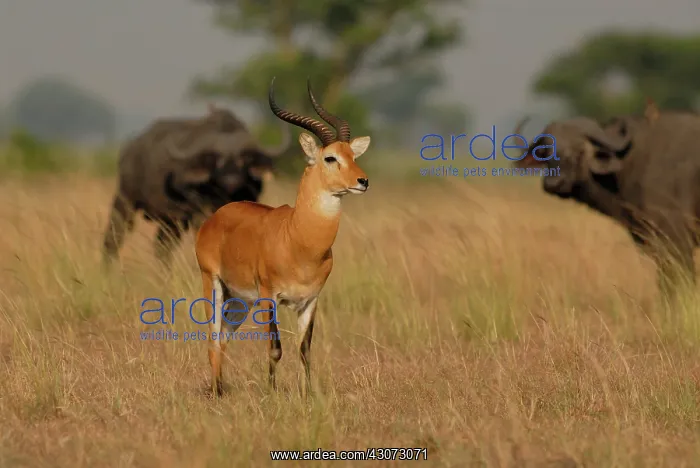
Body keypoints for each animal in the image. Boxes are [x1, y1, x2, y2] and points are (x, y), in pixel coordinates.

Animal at [102, 104, 291, 265]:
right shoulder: (200, 214)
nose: (230, 181)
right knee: (114, 236)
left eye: (243, 159)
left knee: (162, 247)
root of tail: (129, 149)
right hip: (125, 199)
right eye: (215, 159)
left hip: (171, 221)